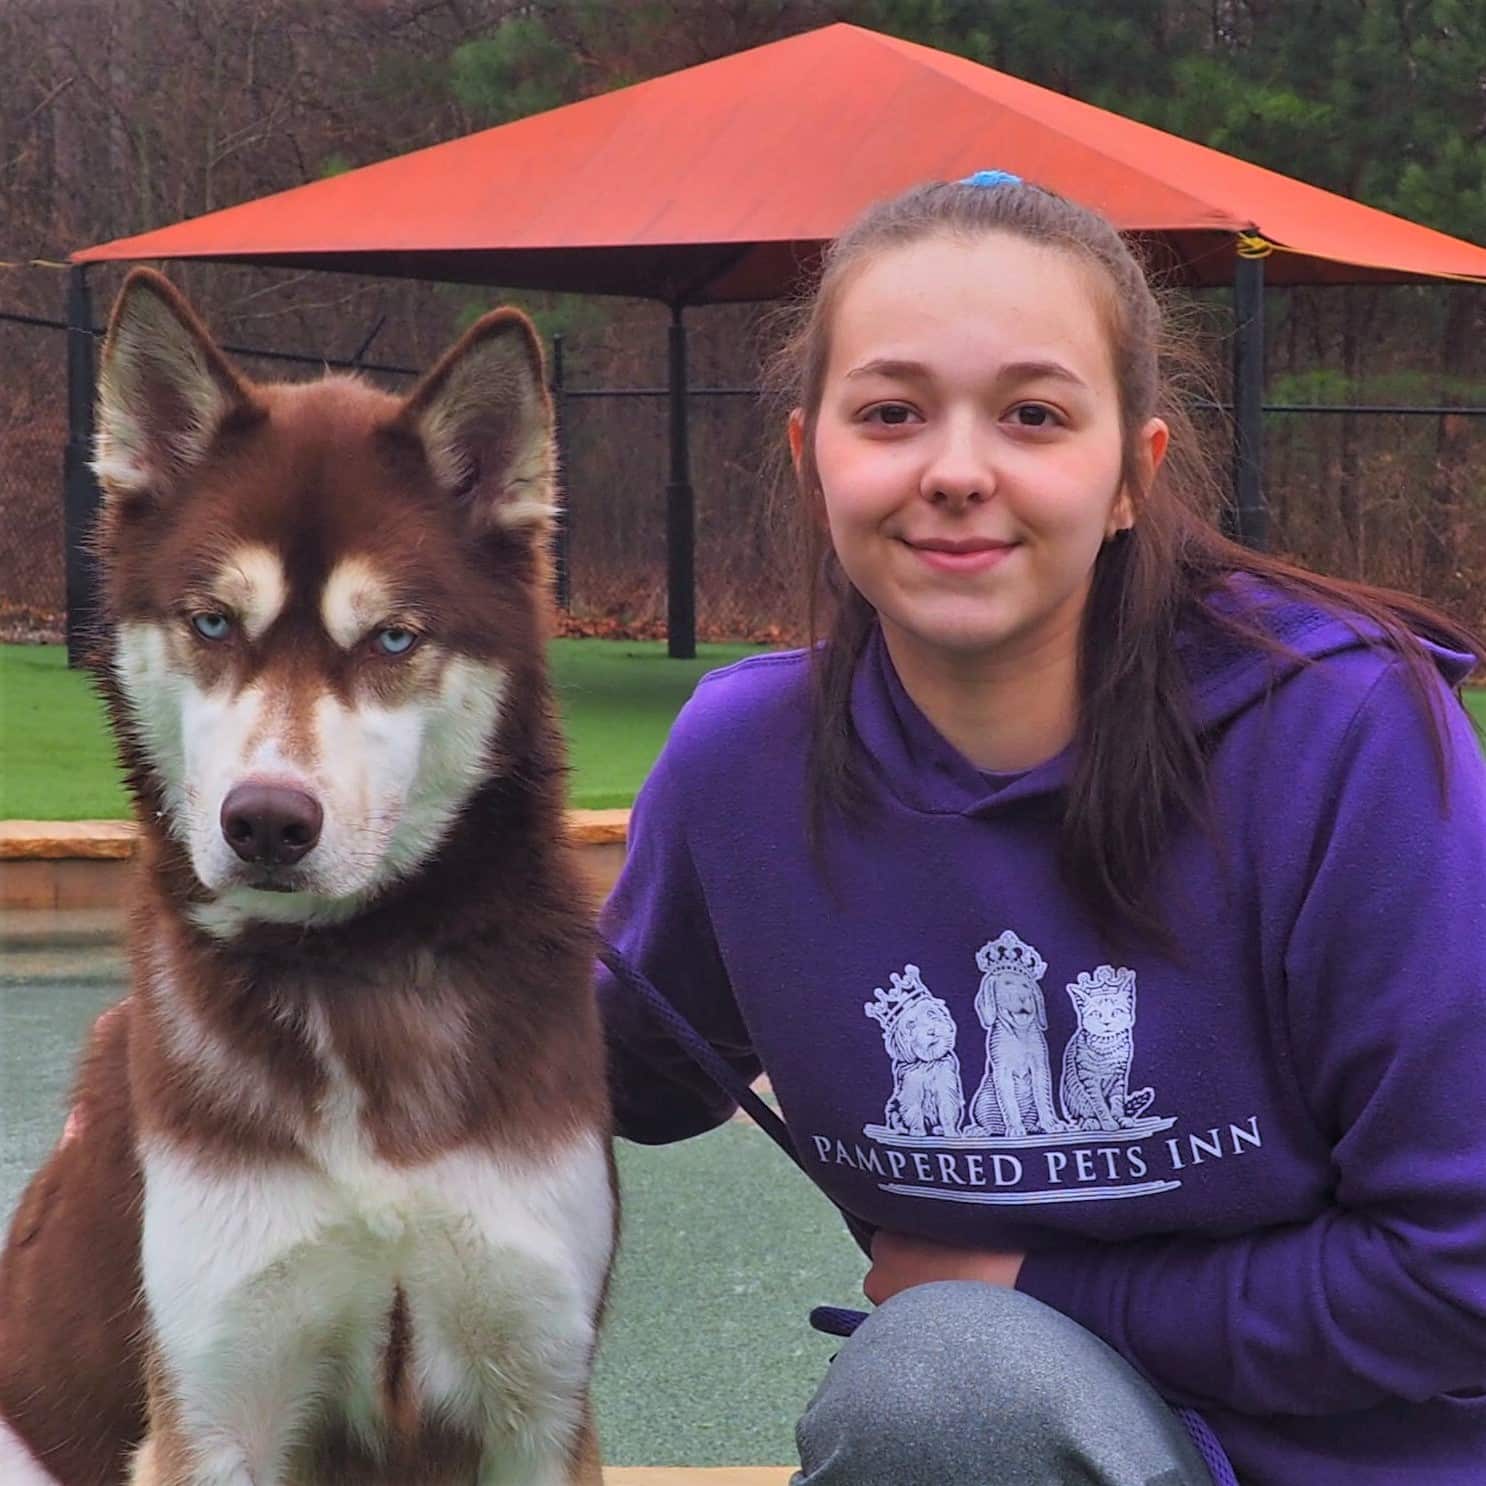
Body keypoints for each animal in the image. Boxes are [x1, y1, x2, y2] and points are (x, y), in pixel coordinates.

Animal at [0, 273, 615, 1480]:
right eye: (210, 621)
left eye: (391, 639)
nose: (268, 823)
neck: (355, 973)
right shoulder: (216, 1403)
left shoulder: (539, 1396)